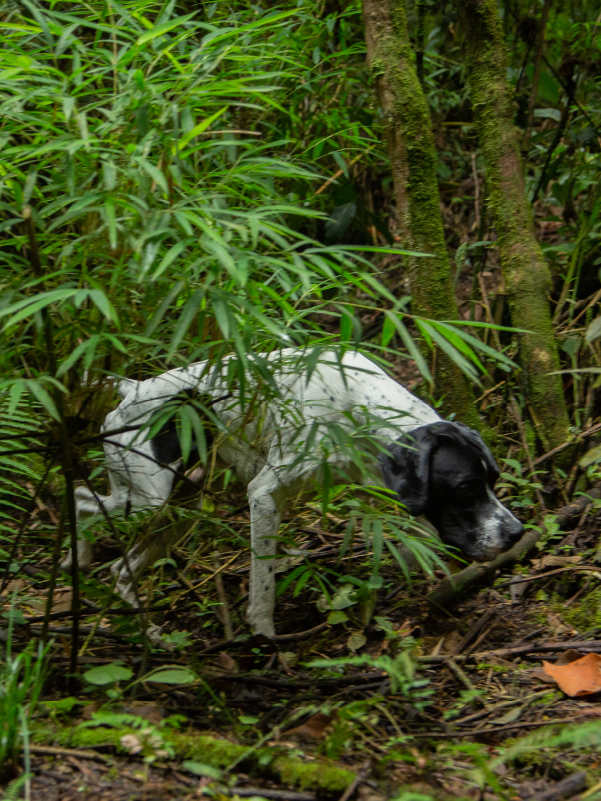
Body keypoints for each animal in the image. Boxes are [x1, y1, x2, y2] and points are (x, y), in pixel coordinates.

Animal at [63, 346, 524, 636]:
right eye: (465, 487)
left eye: (494, 479)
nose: (517, 533)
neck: (357, 404)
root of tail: (134, 388)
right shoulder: (264, 495)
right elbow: (263, 584)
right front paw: (264, 634)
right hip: (146, 500)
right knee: (82, 499)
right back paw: (76, 558)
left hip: (179, 510)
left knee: (119, 569)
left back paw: (148, 633)